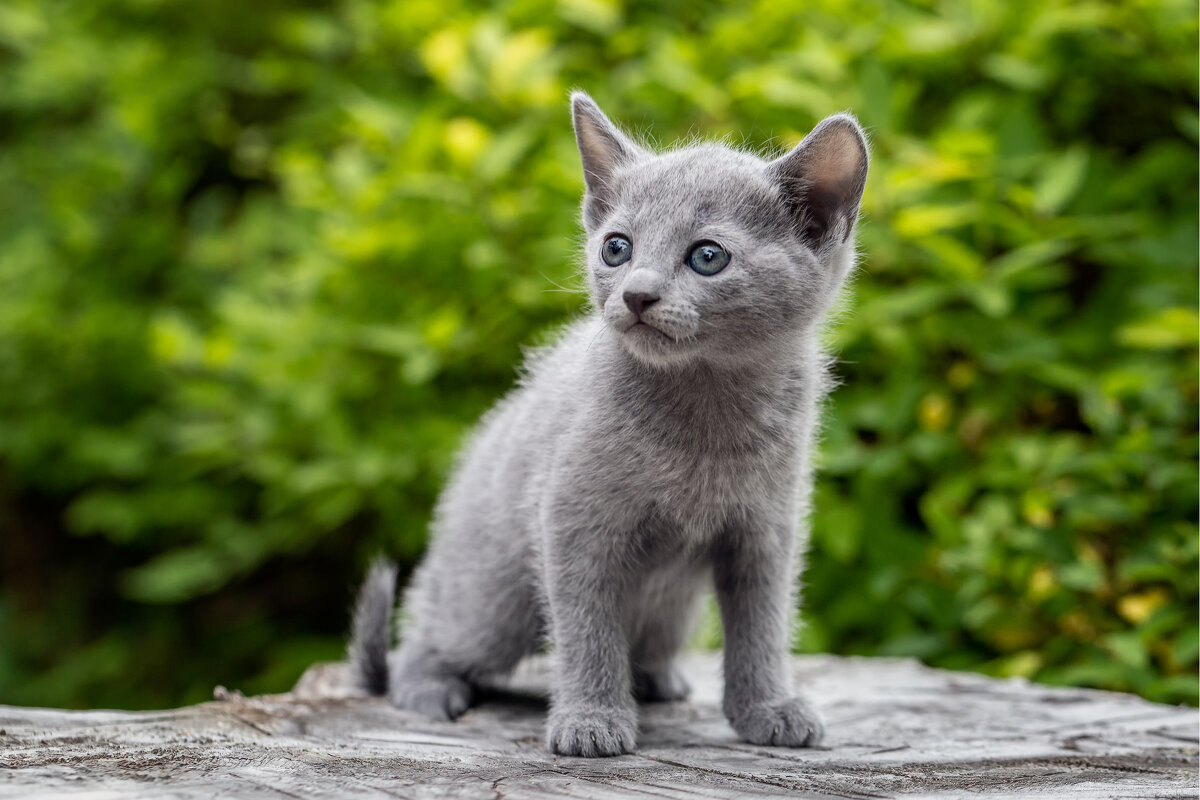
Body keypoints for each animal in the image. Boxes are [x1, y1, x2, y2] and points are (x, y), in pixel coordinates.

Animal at [350, 92, 868, 758]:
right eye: (616, 248)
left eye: (708, 256)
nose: (637, 294)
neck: (704, 409)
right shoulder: (572, 520)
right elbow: (587, 625)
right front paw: (591, 721)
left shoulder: (766, 530)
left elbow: (762, 624)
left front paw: (769, 709)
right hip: (492, 601)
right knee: (430, 635)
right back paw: (429, 688)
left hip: (672, 609)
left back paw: (656, 681)